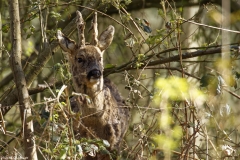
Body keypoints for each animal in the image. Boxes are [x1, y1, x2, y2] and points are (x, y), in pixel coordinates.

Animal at [56, 10, 129, 159]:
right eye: (80, 58)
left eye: (100, 58)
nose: (96, 72)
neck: (94, 122)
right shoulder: (79, 143)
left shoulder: (114, 145)